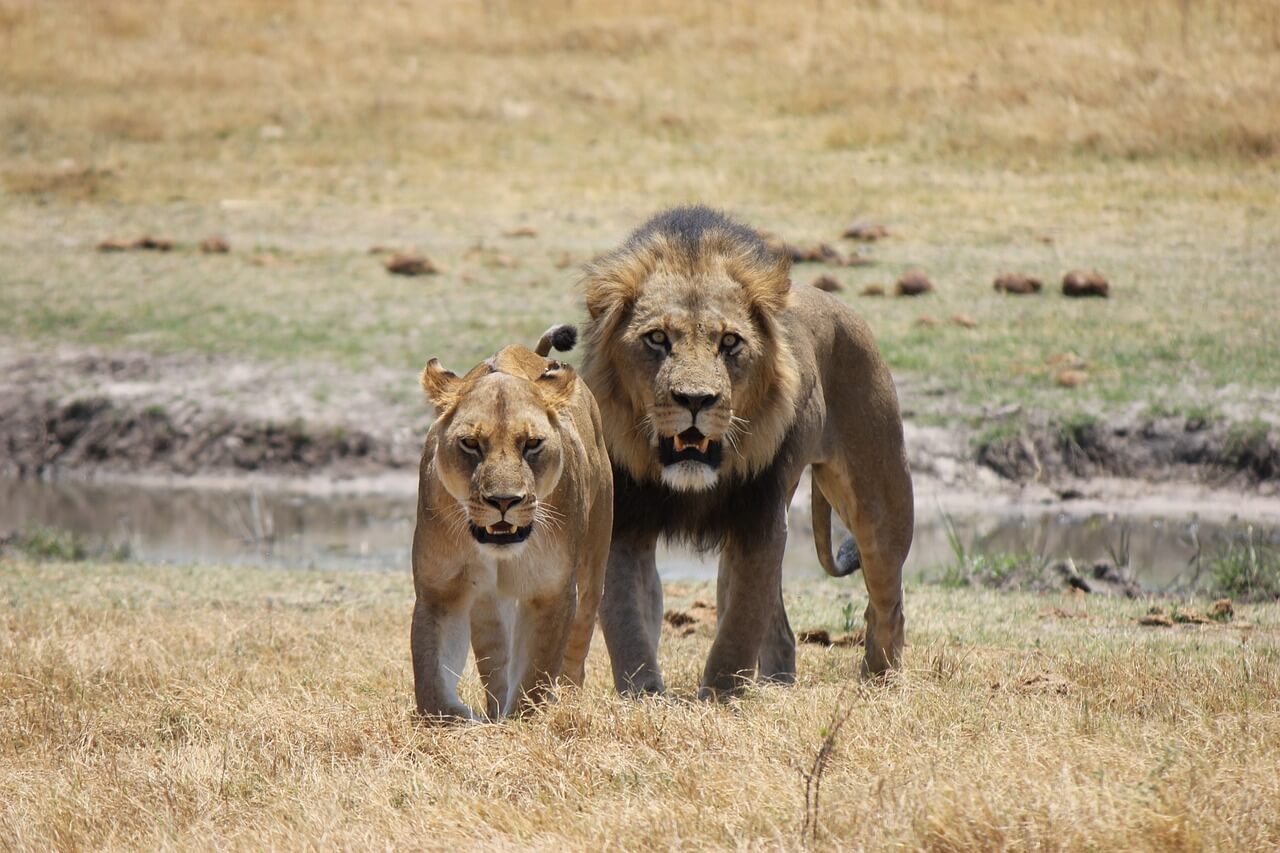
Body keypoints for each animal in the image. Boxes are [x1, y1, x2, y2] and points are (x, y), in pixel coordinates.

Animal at [409, 325, 609, 717]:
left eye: (532, 444)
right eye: (470, 443)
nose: (504, 501)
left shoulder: (551, 590)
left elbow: (536, 672)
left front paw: (523, 719)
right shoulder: (440, 592)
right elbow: (432, 686)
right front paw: (468, 719)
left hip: (593, 569)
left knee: (576, 651)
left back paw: (568, 702)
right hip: (489, 603)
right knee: (495, 659)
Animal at [581, 207, 911, 696]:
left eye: (730, 342)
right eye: (657, 338)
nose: (695, 399)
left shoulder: (760, 518)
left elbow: (739, 626)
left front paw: (718, 697)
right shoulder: (627, 521)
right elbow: (628, 621)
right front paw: (644, 696)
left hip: (882, 506)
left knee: (887, 604)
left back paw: (878, 683)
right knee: (784, 633)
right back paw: (778, 687)